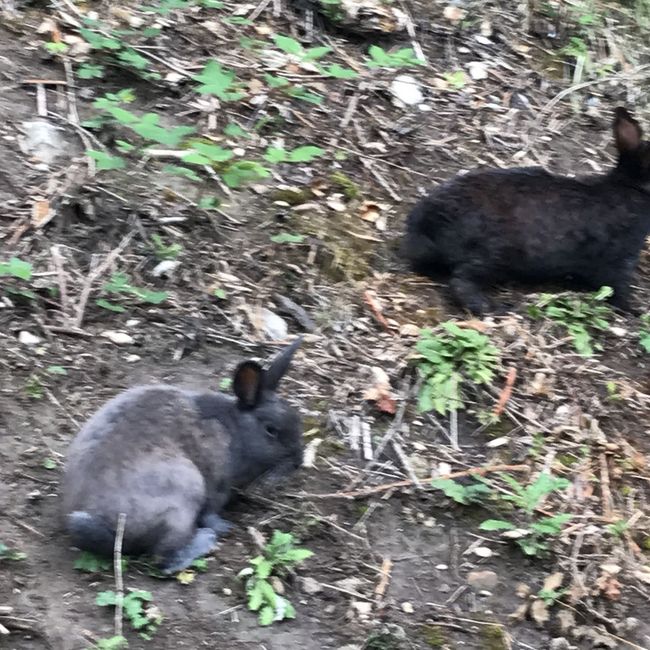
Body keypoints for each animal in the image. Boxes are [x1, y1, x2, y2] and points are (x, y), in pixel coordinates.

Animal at [61, 336, 304, 568]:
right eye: (271, 430)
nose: (299, 461)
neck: (236, 429)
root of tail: (107, 527)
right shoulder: (217, 483)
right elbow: (211, 511)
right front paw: (224, 527)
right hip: (185, 494)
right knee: (163, 558)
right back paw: (206, 539)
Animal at [400, 106, 648, 314]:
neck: (633, 187)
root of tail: (424, 228)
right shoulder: (618, 260)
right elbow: (617, 290)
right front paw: (635, 311)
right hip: (497, 255)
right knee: (461, 281)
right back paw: (497, 307)